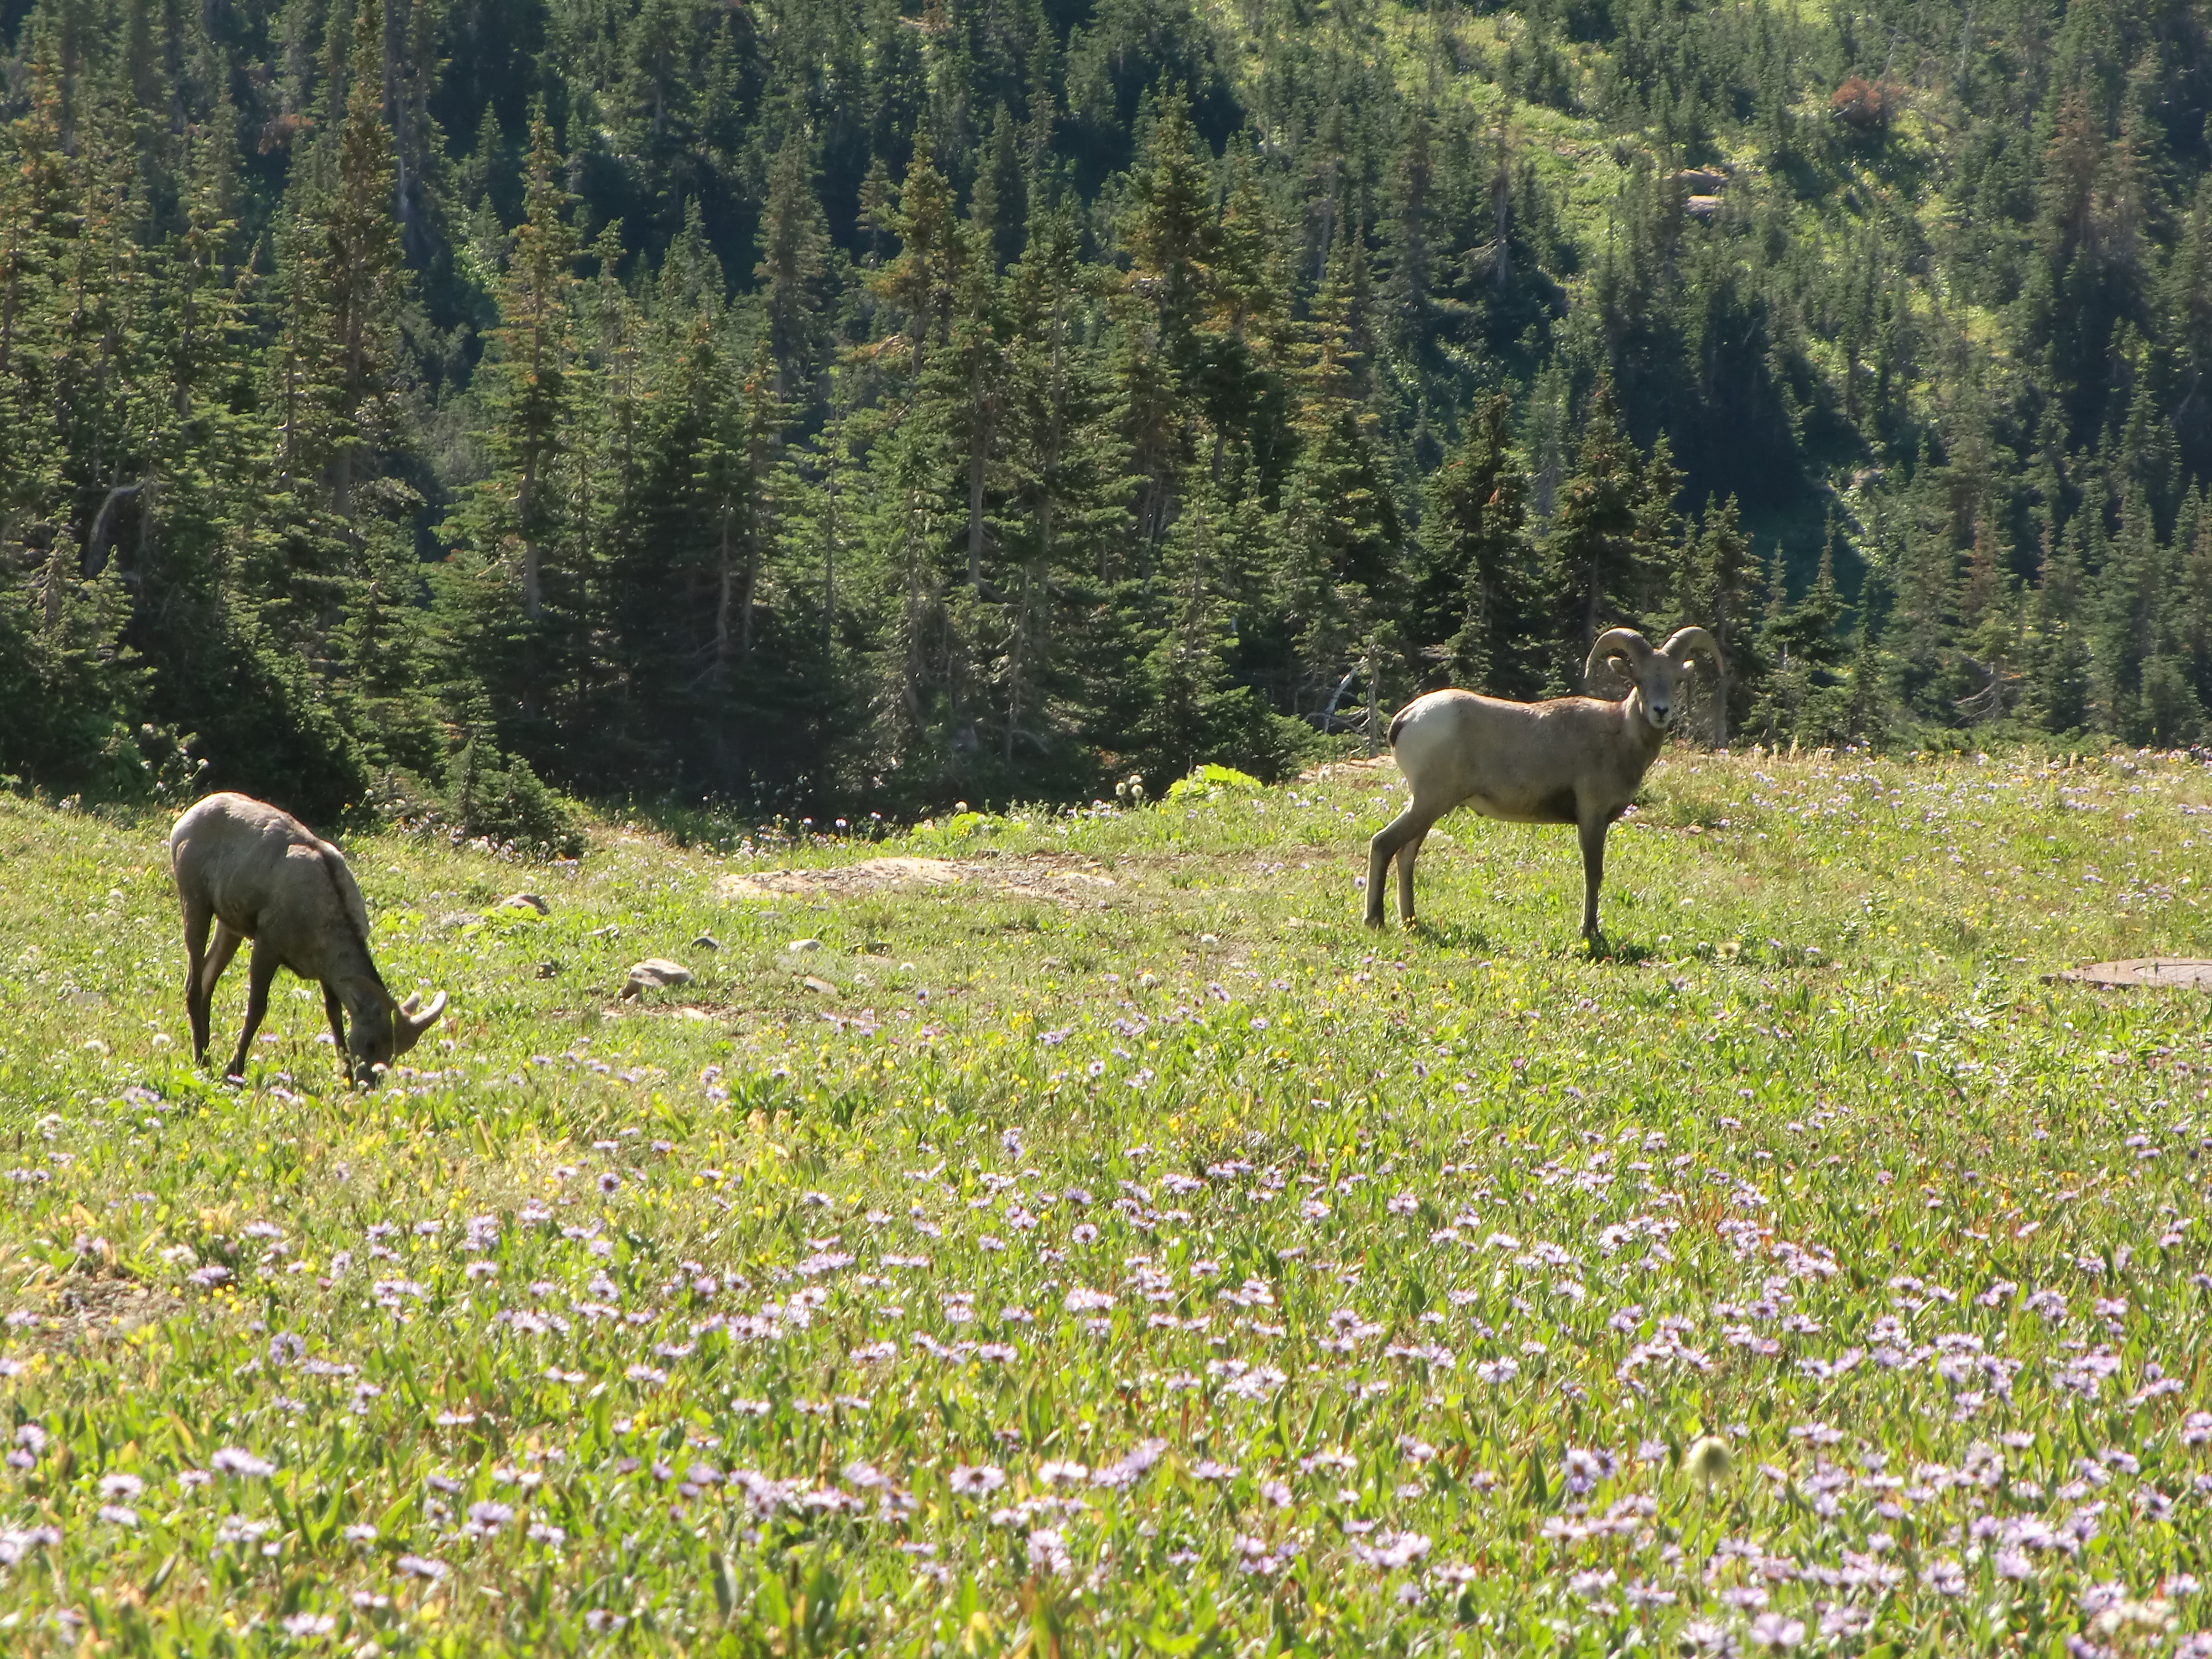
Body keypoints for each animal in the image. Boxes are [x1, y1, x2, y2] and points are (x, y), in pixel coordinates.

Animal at [167, 796, 445, 1084]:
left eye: (398, 1051)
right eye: (371, 1043)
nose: (369, 1083)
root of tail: (189, 817)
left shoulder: (326, 972)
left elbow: (334, 1016)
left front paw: (346, 1077)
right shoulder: (267, 946)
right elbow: (257, 1009)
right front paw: (234, 1072)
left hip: (230, 925)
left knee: (208, 978)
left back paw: (205, 1056)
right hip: (196, 903)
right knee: (194, 983)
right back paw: (203, 1061)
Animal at [1363, 628, 1725, 947]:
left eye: (1676, 681)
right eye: (1639, 679)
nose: (1661, 712)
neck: (1619, 735)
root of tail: (1408, 718)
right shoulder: (1591, 816)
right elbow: (1593, 873)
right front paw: (1589, 932)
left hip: (1429, 806)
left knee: (1406, 853)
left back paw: (1410, 922)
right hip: (1430, 801)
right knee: (1384, 843)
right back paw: (1375, 921)